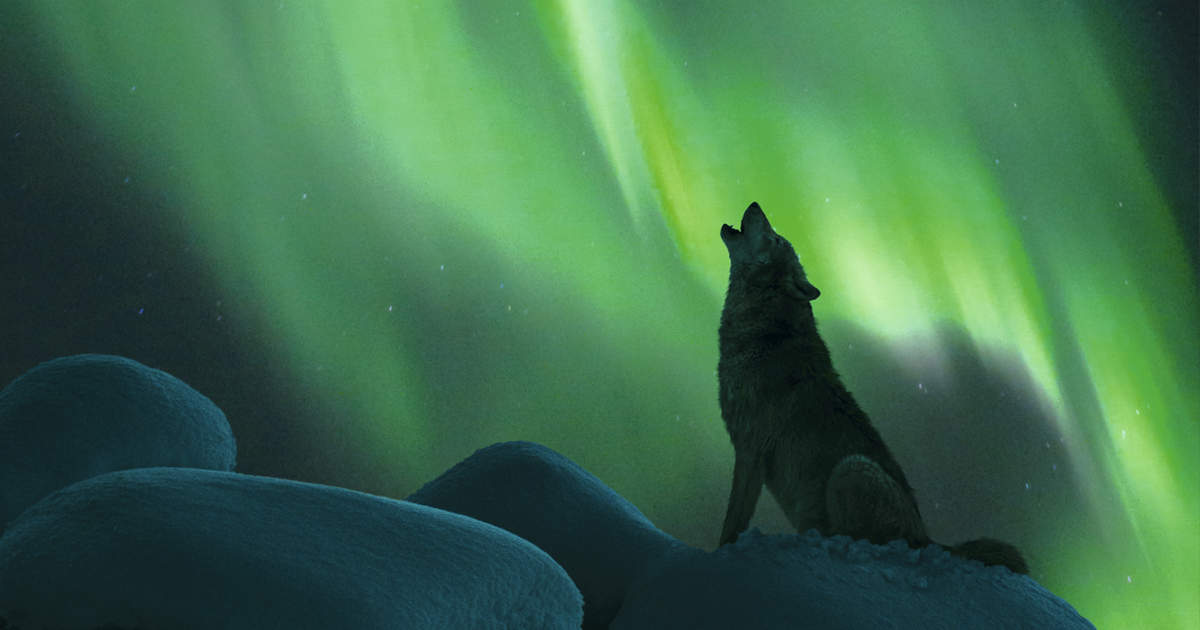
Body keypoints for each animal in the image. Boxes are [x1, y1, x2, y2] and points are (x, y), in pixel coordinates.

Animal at [717, 202, 1028, 574]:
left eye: (776, 239)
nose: (755, 205)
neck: (766, 330)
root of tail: (928, 538)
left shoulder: (749, 449)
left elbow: (732, 522)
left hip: (850, 468)